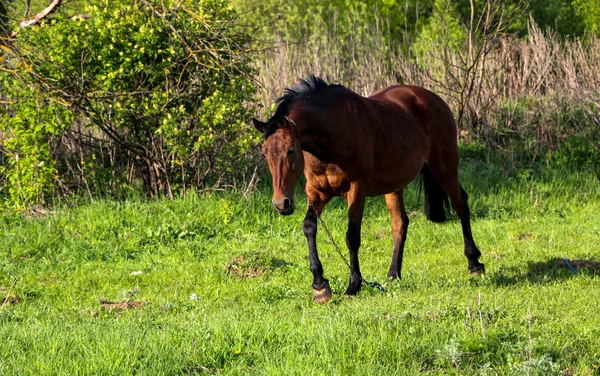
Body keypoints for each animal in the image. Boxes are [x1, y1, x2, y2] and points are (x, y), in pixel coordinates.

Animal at [251, 75, 486, 302]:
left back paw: (474, 263)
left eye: (290, 150)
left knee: (461, 205)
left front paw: (354, 285)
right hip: (394, 183)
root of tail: (433, 99)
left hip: (444, 167)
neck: (332, 132)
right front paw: (320, 285)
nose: (281, 203)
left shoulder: (356, 190)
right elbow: (309, 227)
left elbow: (352, 236)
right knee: (400, 223)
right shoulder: (317, 193)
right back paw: (393, 274)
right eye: (265, 152)